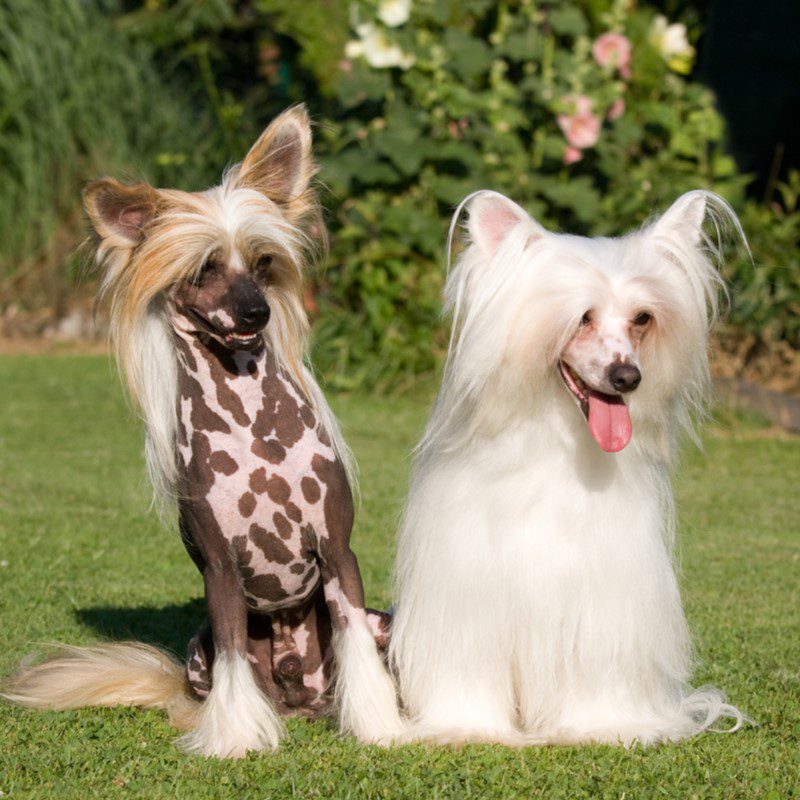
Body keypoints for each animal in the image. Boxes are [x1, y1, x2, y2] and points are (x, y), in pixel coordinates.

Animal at [390, 191, 748, 748]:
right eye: (582, 317)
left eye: (642, 318)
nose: (628, 376)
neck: (558, 442)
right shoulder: (468, 594)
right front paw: (467, 727)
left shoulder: (603, 595)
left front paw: (604, 725)